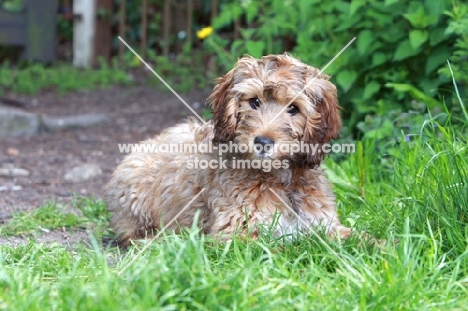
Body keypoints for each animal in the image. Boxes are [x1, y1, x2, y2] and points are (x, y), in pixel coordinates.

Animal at [106, 53, 352, 246]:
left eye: (293, 108)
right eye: (254, 102)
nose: (263, 142)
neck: (280, 178)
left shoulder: (323, 221)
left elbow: (350, 236)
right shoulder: (238, 232)